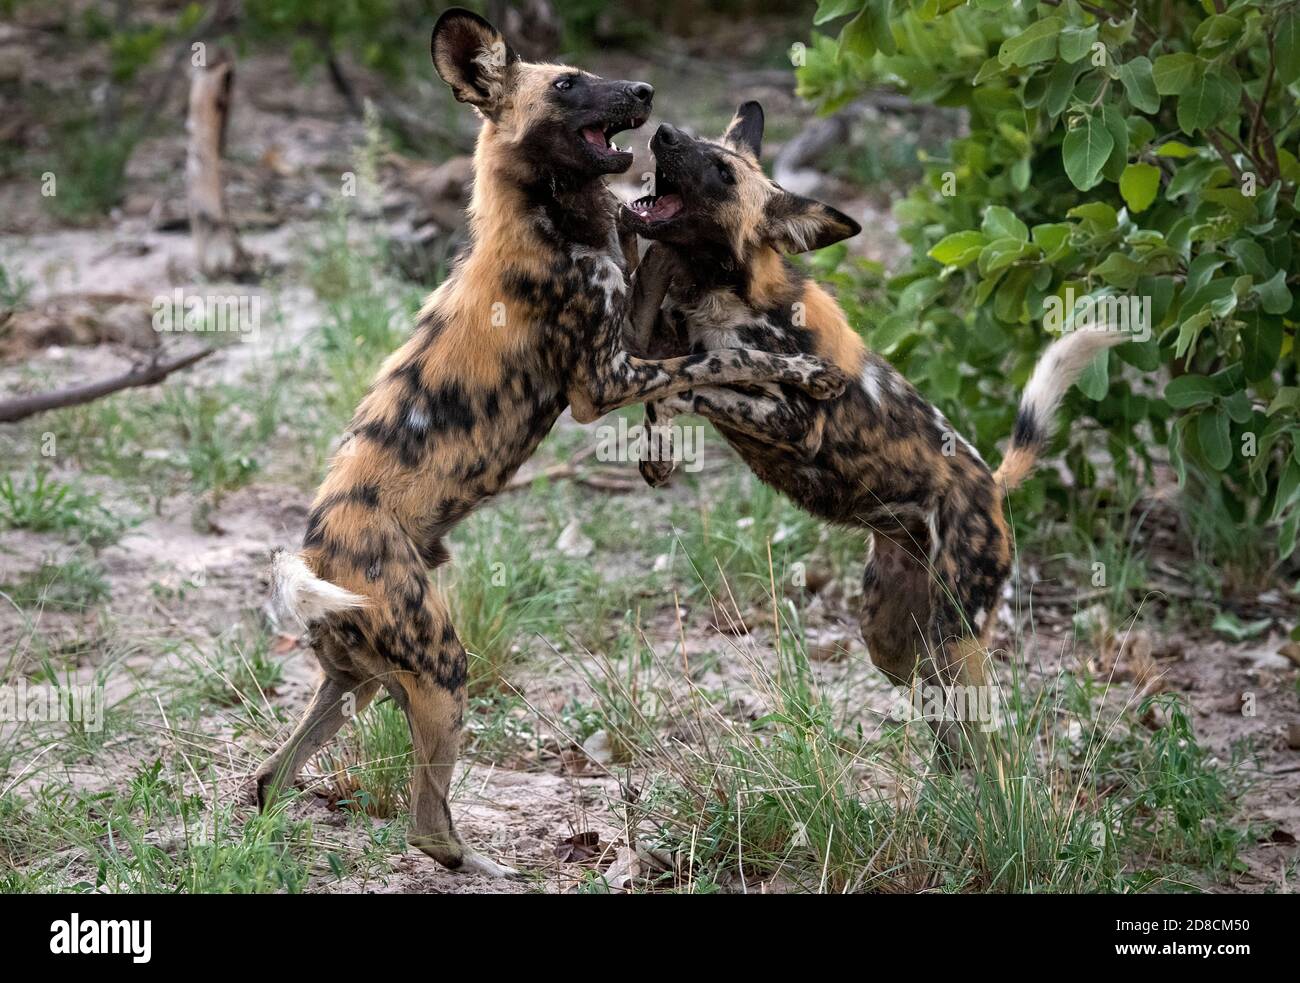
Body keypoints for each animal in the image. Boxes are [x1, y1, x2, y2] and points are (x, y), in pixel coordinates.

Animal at [254, 15, 847, 873]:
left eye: (589, 73)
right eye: (567, 86)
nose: (645, 92)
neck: (550, 215)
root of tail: (313, 550)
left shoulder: (628, 332)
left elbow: (666, 313)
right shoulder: (602, 382)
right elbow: (717, 360)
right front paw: (804, 371)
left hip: (355, 681)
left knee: (270, 777)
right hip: (442, 667)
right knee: (426, 823)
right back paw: (486, 864)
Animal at [621, 103, 1128, 754]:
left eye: (721, 171)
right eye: (696, 146)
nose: (661, 132)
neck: (720, 291)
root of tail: (990, 483)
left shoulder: (793, 420)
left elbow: (703, 377)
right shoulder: (656, 342)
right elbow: (671, 380)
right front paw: (656, 452)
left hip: (955, 630)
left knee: (988, 733)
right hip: (891, 637)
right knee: (940, 711)